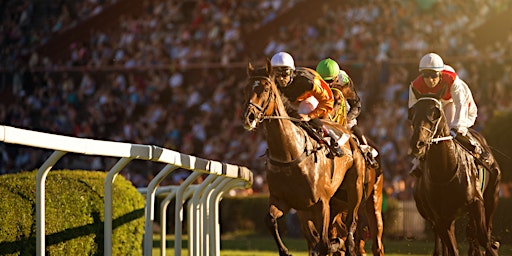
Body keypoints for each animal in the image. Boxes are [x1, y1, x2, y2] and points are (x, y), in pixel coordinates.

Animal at [243, 59, 364, 255]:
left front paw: (334, 243)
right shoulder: (282, 200)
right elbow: (269, 220)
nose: (249, 117)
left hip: (354, 191)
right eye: (246, 89)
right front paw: (285, 251)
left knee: (350, 229)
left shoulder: (321, 204)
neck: (289, 153)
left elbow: (324, 243)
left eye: (266, 89)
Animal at [408, 96, 500, 256]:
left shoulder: (476, 202)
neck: (445, 171)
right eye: (412, 114)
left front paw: (492, 248)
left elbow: (483, 237)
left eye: (435, 114)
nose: (417, 143)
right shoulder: (440, 217)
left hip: (492, 194)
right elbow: (452, 247)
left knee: (483, 229)